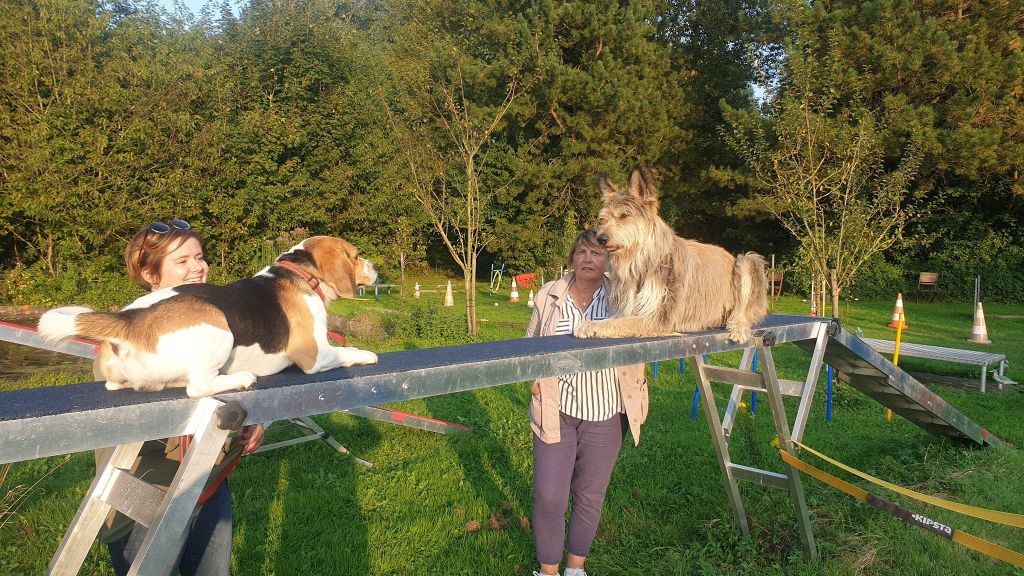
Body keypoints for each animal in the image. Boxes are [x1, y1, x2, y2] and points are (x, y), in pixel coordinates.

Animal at [37, 235, 380, 397]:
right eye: (355, 255)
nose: (376, 266)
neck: (298, 272)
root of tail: (129, 321)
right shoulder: (314, 355)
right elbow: (347, 351)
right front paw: (366, 354)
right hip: (219, 327)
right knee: (197, 387)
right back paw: (240, 378)